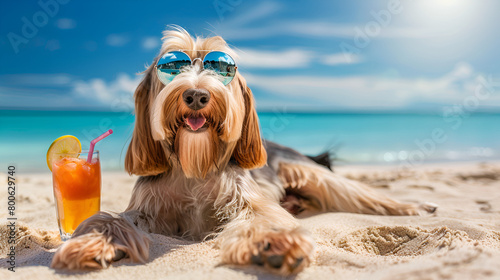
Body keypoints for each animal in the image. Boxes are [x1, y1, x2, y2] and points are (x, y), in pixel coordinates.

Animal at [48, 26, 436, 276]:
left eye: (221, 69)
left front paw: (274, 244)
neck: (195, 163)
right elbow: (111, 218)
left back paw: (414, 206)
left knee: (365, 196)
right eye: (171, 67)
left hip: (314, 173)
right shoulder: (147, 208)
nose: (196, 95)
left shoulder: (245, 199)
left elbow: (262, 217)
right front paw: (91, 243)